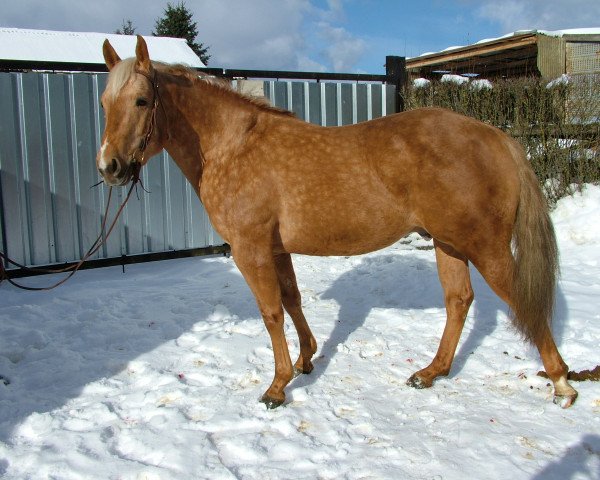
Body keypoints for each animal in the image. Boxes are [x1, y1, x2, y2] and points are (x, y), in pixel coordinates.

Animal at [97, 36, 576, 408]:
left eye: (141, 100)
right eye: (105, 102)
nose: (110, 167)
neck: (233, 147)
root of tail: (496, 136)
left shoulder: (251, 250)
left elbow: (271, 312)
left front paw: (277, 387)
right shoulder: (277, 249)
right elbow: (292, 301)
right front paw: (306, 360)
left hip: (485, 246)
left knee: (520, 301)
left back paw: (561, 382)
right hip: (449, 244)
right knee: (458, 301)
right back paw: (430, 372)